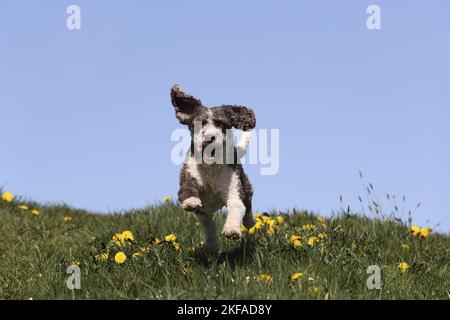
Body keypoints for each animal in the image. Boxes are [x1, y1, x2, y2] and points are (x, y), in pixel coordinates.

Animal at [170, 84, 255, 252]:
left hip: (245, 185)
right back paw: (211, 246)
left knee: (247, 207)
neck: (210, 168)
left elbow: (237, 204)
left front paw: (232, 231)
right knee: (208, 225)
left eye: (221, 124)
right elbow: (186, 190)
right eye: (200, 124)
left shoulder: (233, 184)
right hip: (205, 213)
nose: (210, 138)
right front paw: (190, 202)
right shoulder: (189, 174)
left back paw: (250, 223)